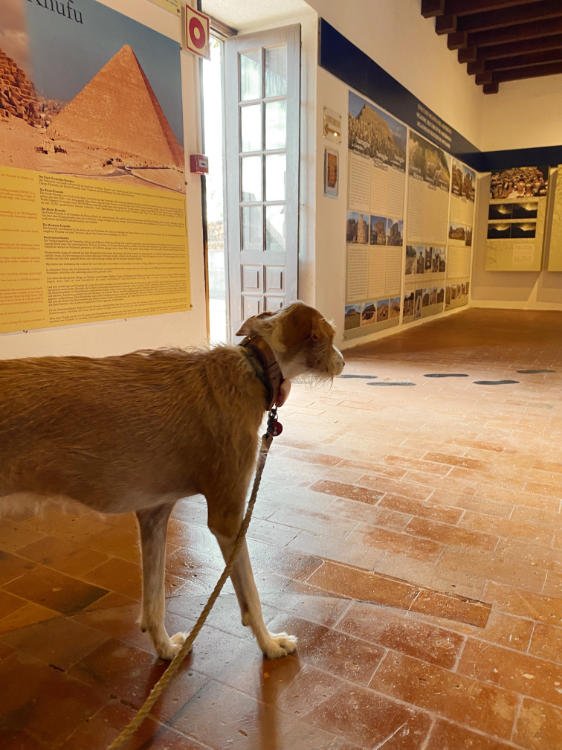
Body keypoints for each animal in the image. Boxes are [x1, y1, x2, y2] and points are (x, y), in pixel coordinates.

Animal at [0, 302, 344, 660]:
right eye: (328, 336)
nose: (343, 362)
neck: (254, 367)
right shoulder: (228, 517)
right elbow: (251, 595)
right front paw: (270, 644)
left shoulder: (153, 513)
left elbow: (154, 602)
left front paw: (165, 648)